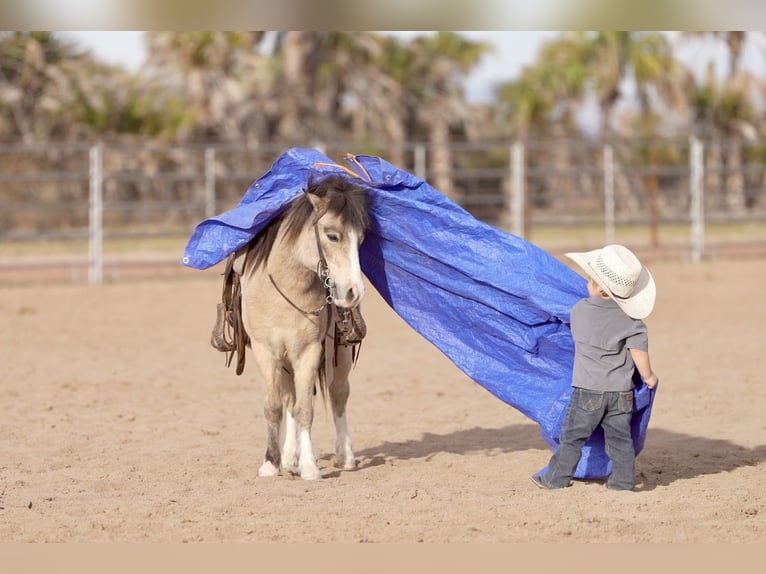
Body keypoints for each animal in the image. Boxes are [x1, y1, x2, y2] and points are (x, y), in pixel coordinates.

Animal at [211, 173, 371, 480]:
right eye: (332, 235)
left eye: (361, 239)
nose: (353, 292)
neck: (286, 289)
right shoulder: (266, 352)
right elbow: (275, 406)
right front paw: (271, 463)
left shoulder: (309, 351)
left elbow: (305, 409)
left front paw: (309, 467)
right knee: (289, 398)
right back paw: (288, 457)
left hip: (340, 353)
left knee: (338, 393)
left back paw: (345, 456)